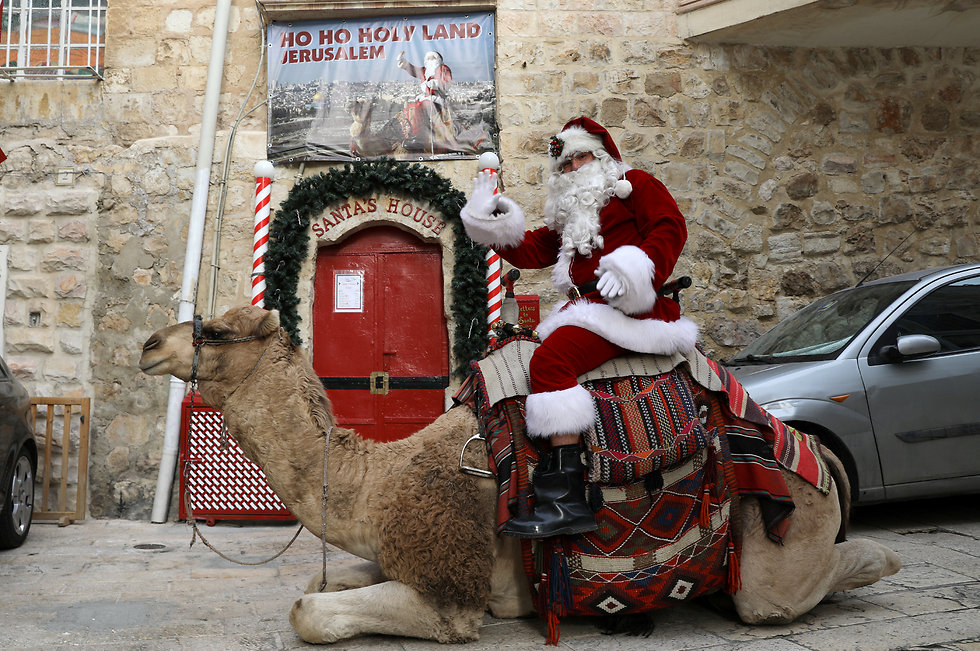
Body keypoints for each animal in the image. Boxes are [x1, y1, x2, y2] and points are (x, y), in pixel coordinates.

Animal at [140, 306, 904, 648]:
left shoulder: (452, 593)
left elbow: (310, 610)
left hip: (779, 551)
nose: (149, 345)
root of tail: (811, 455)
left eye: (219, 329)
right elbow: (322, 582)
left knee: (814, 580)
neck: (376, 483)